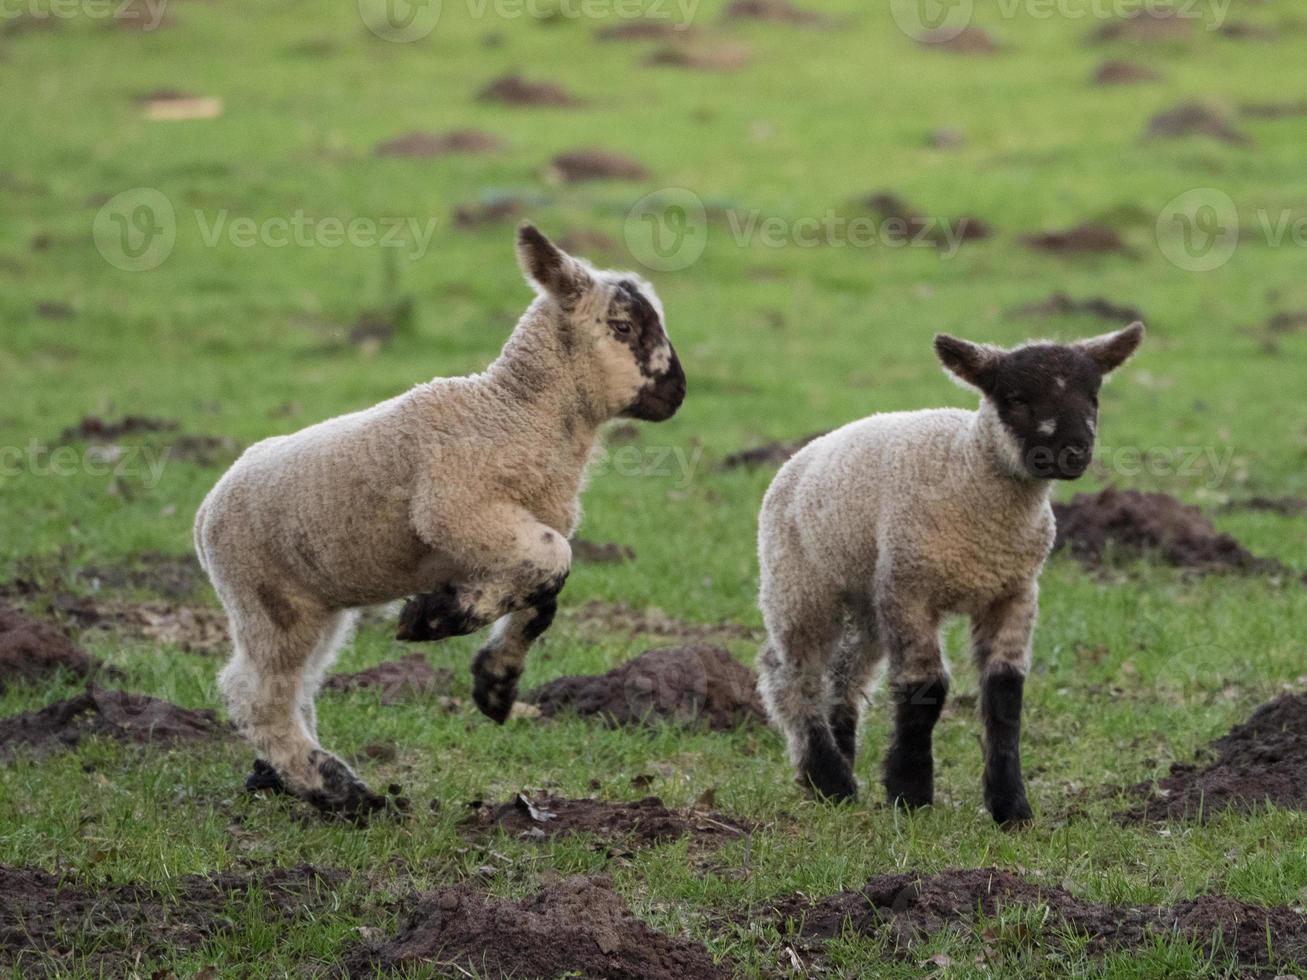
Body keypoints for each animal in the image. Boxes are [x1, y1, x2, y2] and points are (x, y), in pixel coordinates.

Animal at [196, 226, 684, 815]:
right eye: (624, 327)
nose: (678, 393)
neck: (517, 414)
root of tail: (206, 512)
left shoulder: (513, 536)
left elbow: (543, 596)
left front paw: (493, 685)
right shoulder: (456, 511)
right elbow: (555, 562)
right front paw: (434, 617)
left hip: (312, 605)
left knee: (294, 690)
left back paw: (283, 777)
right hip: (268, 599)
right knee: (256, 697)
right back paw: (339, 791)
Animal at [758, 326, 1144, 825]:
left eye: (1093, 396)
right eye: (1015, 397)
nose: (1072, 452)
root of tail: (800, 457)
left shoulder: (1014, 592)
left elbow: (1005, 693)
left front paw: (1011, 806)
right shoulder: (910, 589)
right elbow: (925, 687)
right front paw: (910, 792)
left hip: (867, 595)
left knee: (844, 675)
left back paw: (838, 760)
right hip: (800, 582)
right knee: (791, 675)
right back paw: (829, 778)